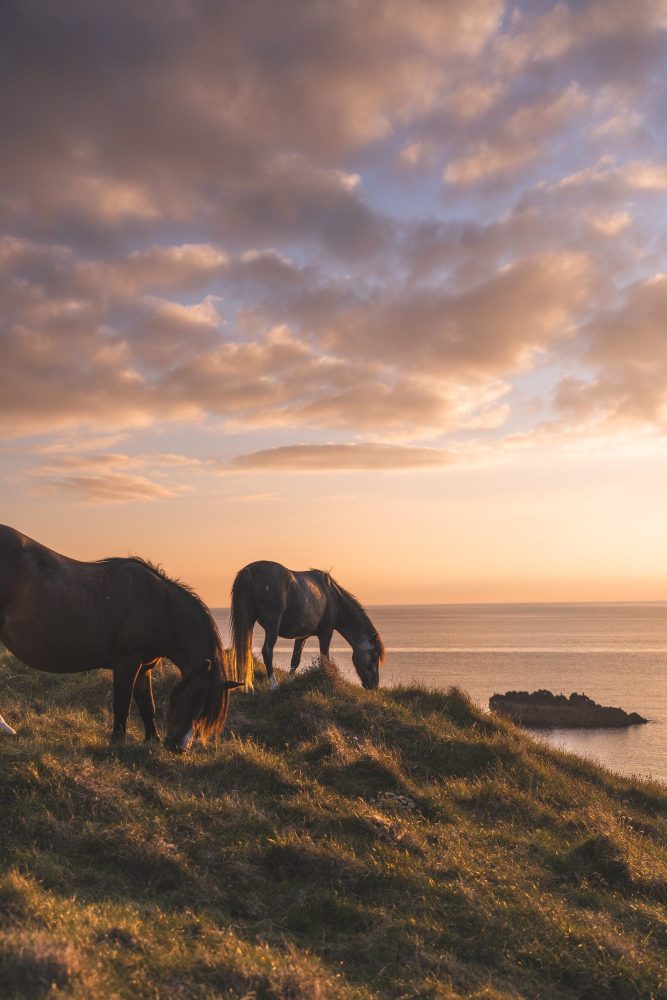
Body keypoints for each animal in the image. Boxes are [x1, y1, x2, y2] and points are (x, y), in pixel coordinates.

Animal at [0, 525, 241, 752]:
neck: (162, 607)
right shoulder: (127, 661)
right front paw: (117, 740)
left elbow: (147, 705)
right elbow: (122, 703)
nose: (179, 747)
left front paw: (151, 739)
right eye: (196, 696)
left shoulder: (144, 667)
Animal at [230, 560, 385, 691]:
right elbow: (324, 658)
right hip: (272, 627)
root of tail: (250, 570)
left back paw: (248, 686)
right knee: (267, 651)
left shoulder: (301, 636)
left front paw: (289, 682)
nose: (374, 685)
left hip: (249, 621)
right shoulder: (326, 633)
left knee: (245, 649)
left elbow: (295, 660)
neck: (332, 596)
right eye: (375, 656)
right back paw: (273, 685)